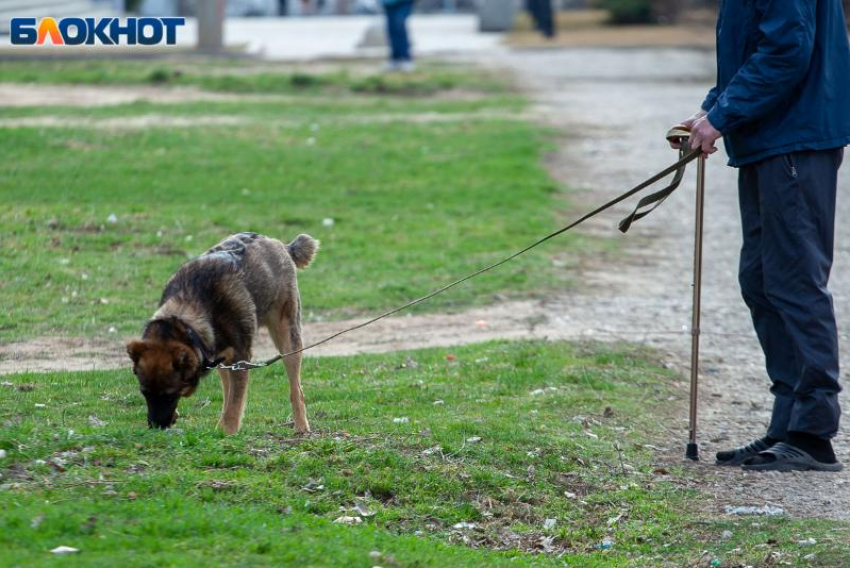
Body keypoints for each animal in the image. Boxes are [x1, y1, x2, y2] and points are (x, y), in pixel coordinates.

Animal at [122, 231, 314, 434]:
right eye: (144, 392)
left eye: (170, 394)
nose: (155, 426)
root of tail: (281, 245)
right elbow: (230, 399)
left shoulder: (240, 358)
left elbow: (235, 404)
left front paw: (228, 433)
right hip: (224, 360)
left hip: (288, 338)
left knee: (296, 389)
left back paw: (301, 426)